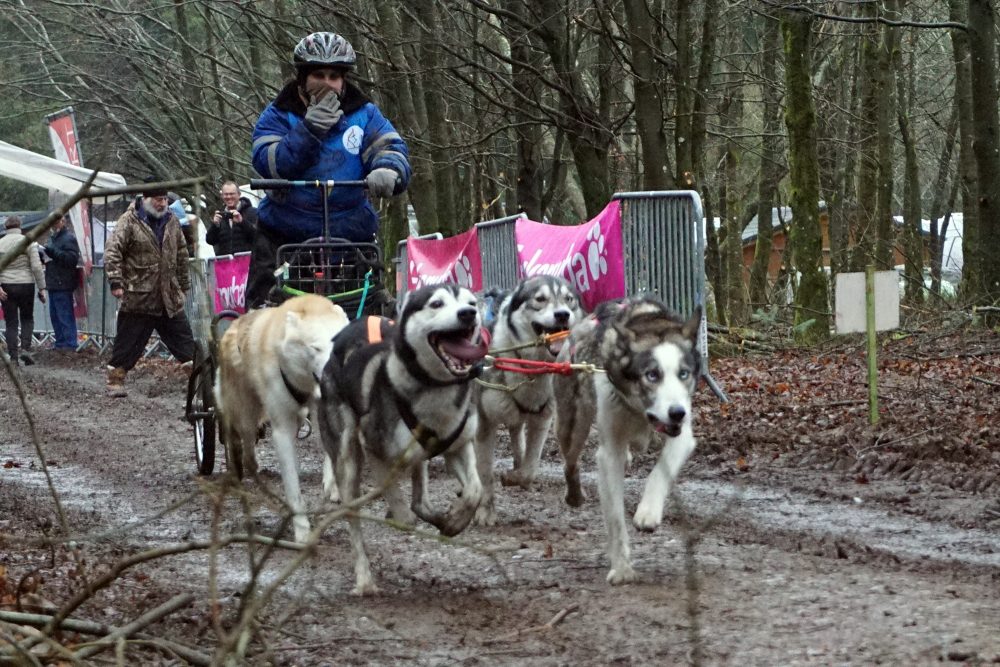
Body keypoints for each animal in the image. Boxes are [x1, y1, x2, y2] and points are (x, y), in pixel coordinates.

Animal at [556, 298, 704, 584]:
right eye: (652, 375)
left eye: (683, 374)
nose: (677, 413)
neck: (639, 412)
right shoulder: (608, 453)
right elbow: (615, 517)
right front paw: (622, 568)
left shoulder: (682, 437)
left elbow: (660, 471)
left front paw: (648, 511)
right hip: (573, 427)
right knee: (570, 463)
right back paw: (574, 494)